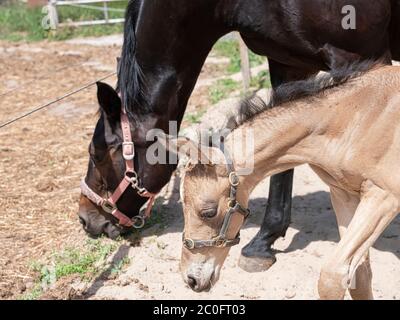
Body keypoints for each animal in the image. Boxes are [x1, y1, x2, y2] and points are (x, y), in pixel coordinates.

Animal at [78, 0, 400, 272]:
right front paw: (263, 241)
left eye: (98, 154)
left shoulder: (360, 56)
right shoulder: (287, 63)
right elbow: (282, 151)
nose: (86, 219)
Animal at [171, 62, 400, 298]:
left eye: (208, 212)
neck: (354, 118)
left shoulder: (384, 197)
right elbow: (358, 274)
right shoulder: (344, 194)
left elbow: (332, 275)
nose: (191, 279)